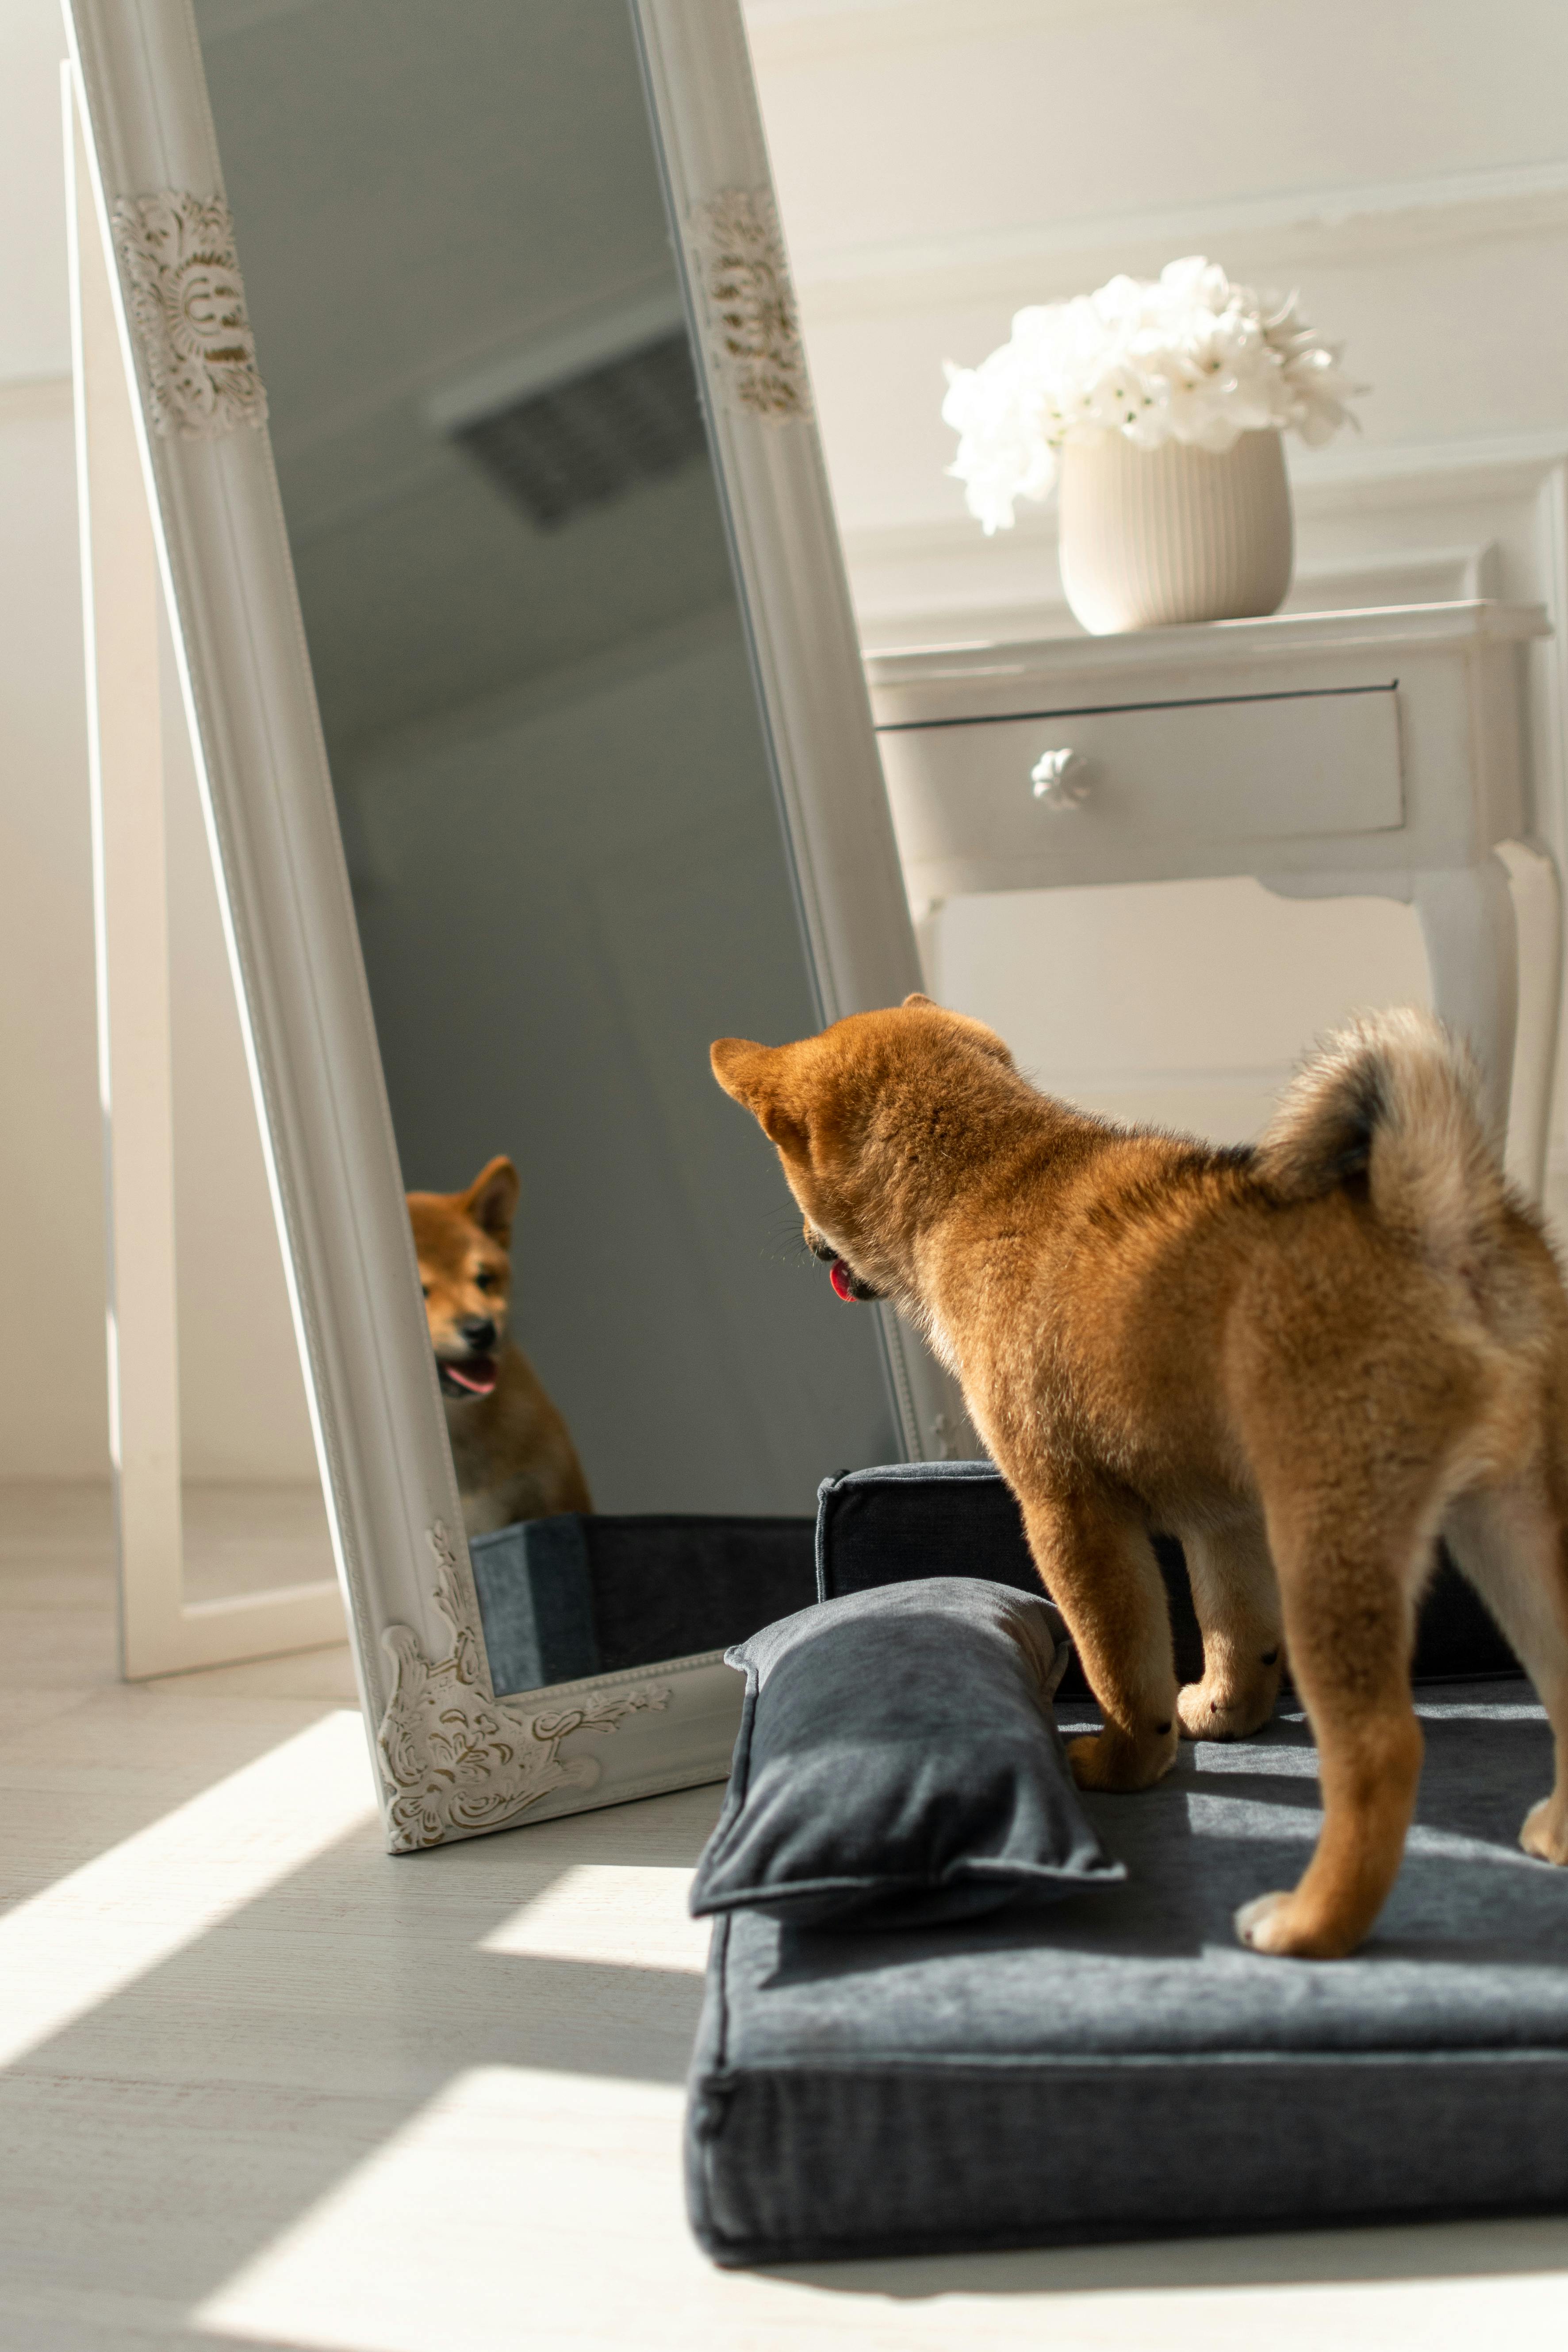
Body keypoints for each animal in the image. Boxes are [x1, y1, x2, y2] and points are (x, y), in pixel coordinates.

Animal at [719, 997, 1568, 1966]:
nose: (807, 1243)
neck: (985, 1178)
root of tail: (1436, 1222)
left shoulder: (1069, 1515)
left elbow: (1120, 1666)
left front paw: (1126, 1761)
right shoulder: (1221, 1522)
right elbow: (1233, 1632)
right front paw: (1225, 1710)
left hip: (1334, 1551)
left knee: (1380, 1752)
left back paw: (1310, 1923)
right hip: (1509, 1526)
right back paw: (1556, 1833)